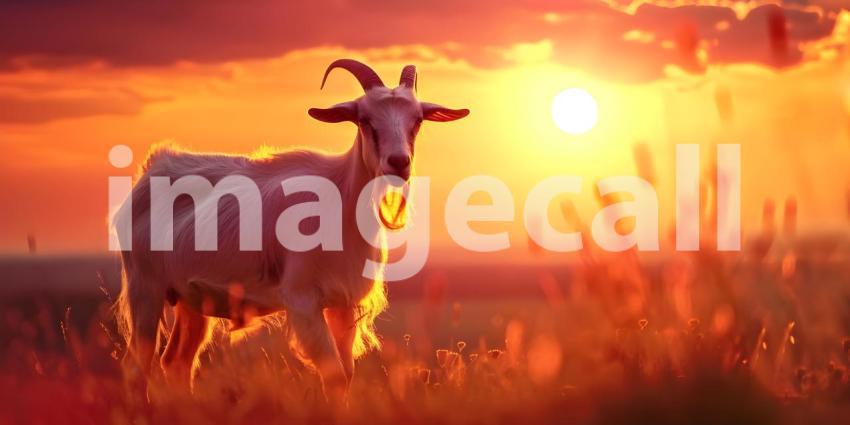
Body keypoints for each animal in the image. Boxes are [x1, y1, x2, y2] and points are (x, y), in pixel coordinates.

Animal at [114, 59, 468, 403]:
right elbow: (334, 376)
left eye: (417, 119)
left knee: (176, 362)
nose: (398, 162)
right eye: (364, 119)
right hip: (145, 288)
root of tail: (153, 166)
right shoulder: (303, 302)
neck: (342, 202)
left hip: (191, 302)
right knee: (137, 366)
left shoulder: (343, 304)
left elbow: (345, 376)